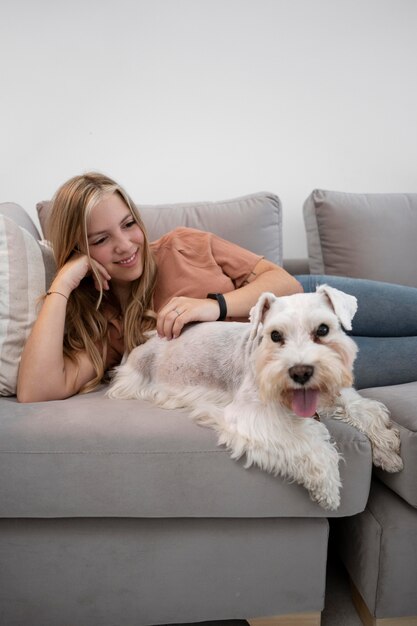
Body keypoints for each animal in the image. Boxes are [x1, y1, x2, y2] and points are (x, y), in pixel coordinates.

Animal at [106, 284, 400, 508]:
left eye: (323, 329)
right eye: (275, 335)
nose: (301, 372)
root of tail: (149, 339)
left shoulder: (332, 395)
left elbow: (362, 408)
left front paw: (387, 448)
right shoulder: (254, 416)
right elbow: (309, 440)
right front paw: (328, 486)